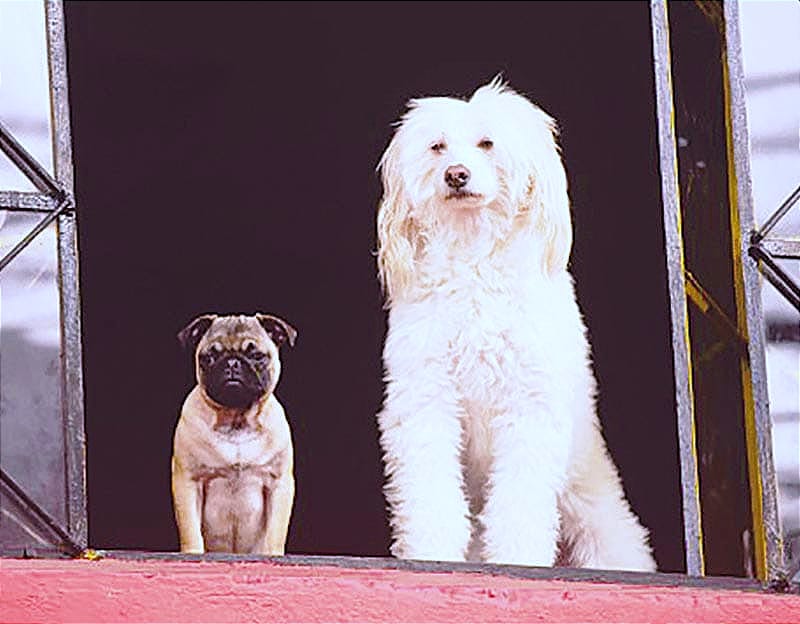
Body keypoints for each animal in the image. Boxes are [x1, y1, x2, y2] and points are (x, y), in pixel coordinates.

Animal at [172, 314, 296, 552]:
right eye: (209, 357)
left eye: (256, 356)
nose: (232, 362)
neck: (236, 420)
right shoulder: (188, 482)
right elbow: (191, 533)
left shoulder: (279, 484)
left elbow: (274, 535)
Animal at [376, 78, 656, 572]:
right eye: (437, 146)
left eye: (487, 143)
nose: (456, 175)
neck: (473, 258)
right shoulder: (426, 397)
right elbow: (429, 490)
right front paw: (431, 553)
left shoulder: (530, 406)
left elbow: (520, 503)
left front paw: (517, 560)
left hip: (599, 520)